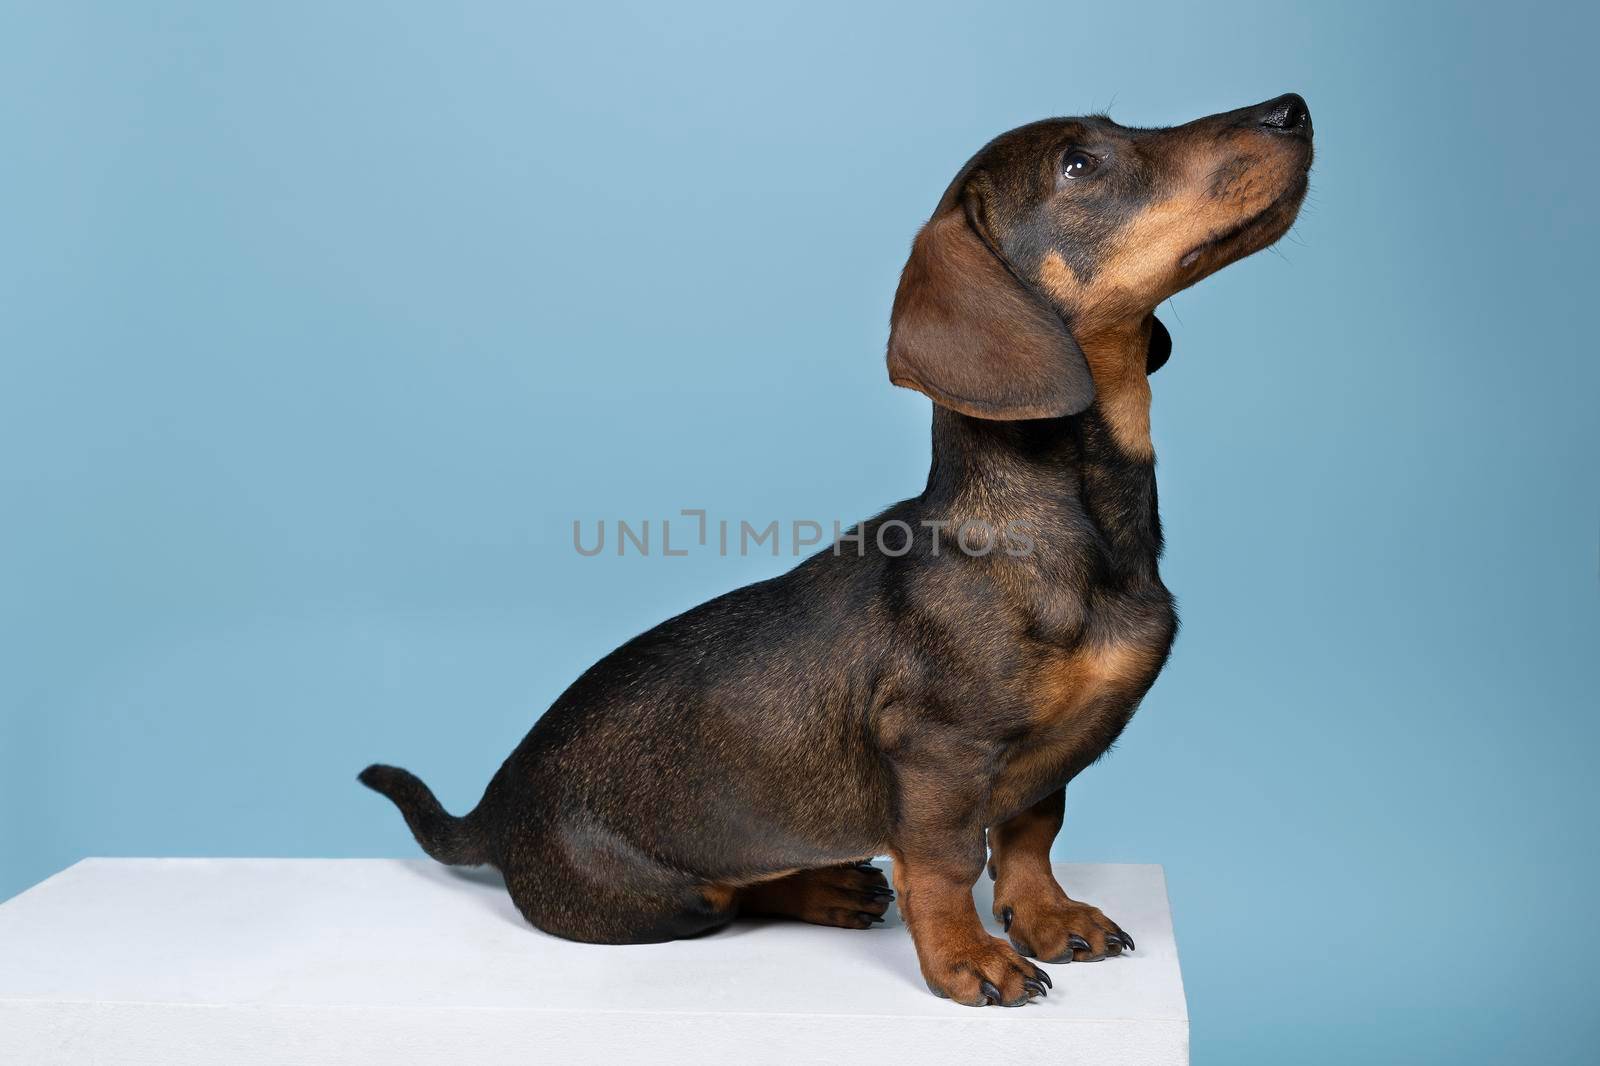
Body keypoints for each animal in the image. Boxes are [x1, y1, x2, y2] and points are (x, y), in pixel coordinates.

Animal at [363, 93, 1312, 1005]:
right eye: (1078, 164)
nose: (1293, 109)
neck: (1072, 530)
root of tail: (496, 803)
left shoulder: (1042, 766)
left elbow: (1032, 833)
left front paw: (1046, 916)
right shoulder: (936, 752)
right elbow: (948, 863)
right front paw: (968, 959)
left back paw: (833, 887)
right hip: (666, 897)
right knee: (730, 895)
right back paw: (822, 888)